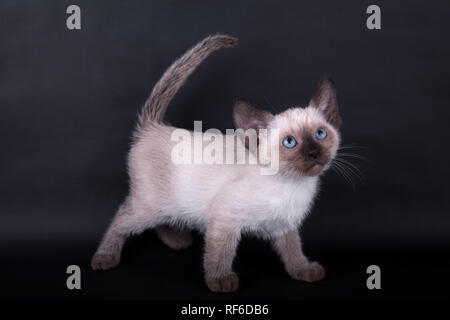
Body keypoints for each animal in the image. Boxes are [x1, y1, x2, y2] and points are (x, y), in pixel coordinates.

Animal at [91, 33, 342, 292]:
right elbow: (220, 253)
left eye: (320, 134)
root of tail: (153, 126)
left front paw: (303, 271)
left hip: (165, 204)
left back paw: (177, 241)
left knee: (160, 221)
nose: (313, 153)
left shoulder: (284, 224)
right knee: (121, 218)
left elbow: (293, 250)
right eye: (290, 142)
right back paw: (105, 257)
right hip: (149, 206)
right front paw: (220, 280)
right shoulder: (224, 219)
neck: (292, 185)